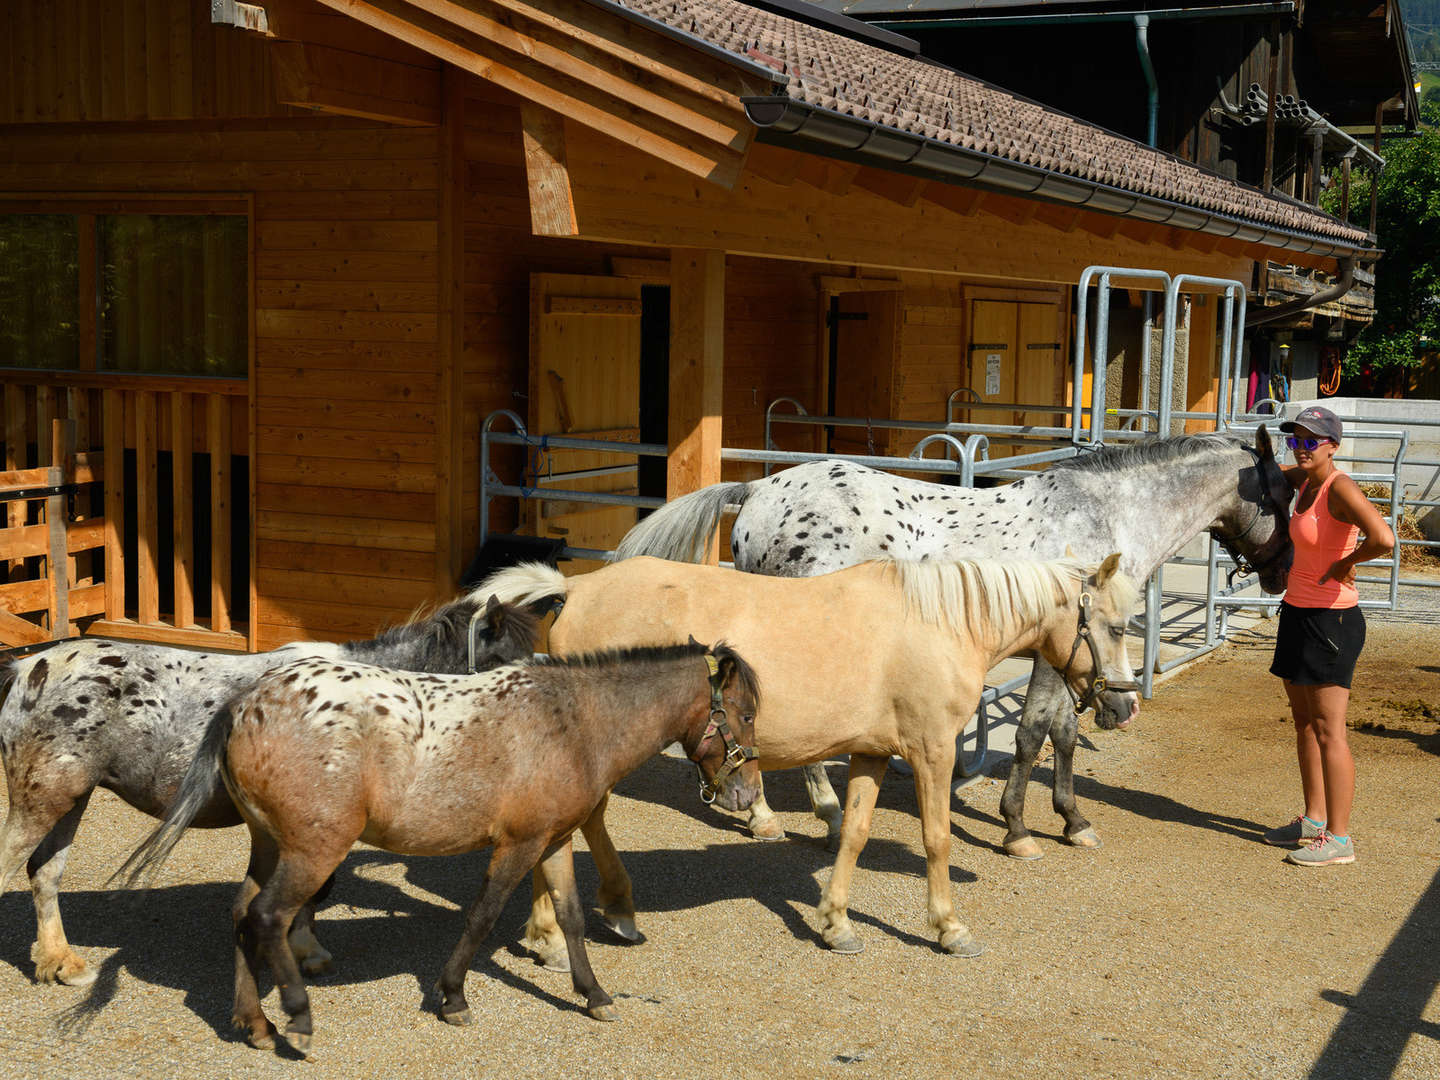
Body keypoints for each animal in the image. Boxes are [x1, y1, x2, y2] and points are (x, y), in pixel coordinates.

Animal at [0, 593, 538, 990]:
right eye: (506, 668)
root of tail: (28, 669)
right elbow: (314, 888)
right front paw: (306, 950)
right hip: (43, 798)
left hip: (69, 798)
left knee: (44, 873)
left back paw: (59, 961)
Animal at [120, 642, 766, 1059]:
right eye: (746, 713)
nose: (745, 793)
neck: (576, 722)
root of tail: (245, 703)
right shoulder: (518, 843)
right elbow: (482, 915)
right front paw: (452, 996)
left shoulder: (554, 840)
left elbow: (572, 918)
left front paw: (594, 995)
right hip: (313, 850)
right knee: (268, 916)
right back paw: (297, 1019)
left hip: (271, 845)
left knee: (240, 913)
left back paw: (253, 1023)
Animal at [610, 426, 1296, 858]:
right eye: (1288, 495)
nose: (1284, 574)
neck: (1103, 519)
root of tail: (759, 491)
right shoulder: (1056, 655)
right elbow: (1037, 733)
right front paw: (1022, 830)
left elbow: (1058, 733)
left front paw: (1069, 821)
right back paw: (812, 816)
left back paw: (774, 815)